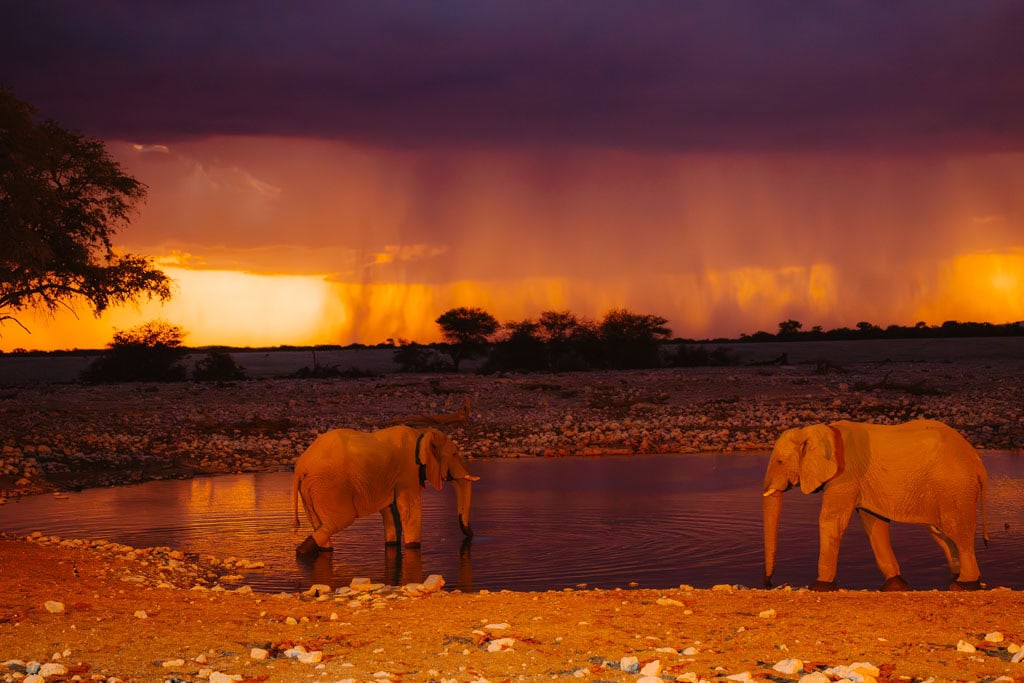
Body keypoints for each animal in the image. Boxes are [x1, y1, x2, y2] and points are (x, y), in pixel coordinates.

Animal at [290, 423, 477, 557]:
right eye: (455, 455)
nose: (472, 535)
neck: (422, 432)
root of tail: (300, 467)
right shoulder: (407, 471)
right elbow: (409, 509)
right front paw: (413, 547)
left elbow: (389, 511)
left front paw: (392, 545)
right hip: (329, 486)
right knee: (340, 520)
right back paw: (301, 551)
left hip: (310, 488)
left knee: (319, 523)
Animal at [761, 419, 991, 589]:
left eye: (780, 462)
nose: (769, 583)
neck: (818, 430)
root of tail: (977, 460)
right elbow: (874, 524)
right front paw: (895, 584)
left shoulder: (846, 476)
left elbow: (831, 522)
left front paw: (819, 586)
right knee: (939, 532)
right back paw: (956, 577)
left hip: (955, 486)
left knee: (957, 529)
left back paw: (964, 584)